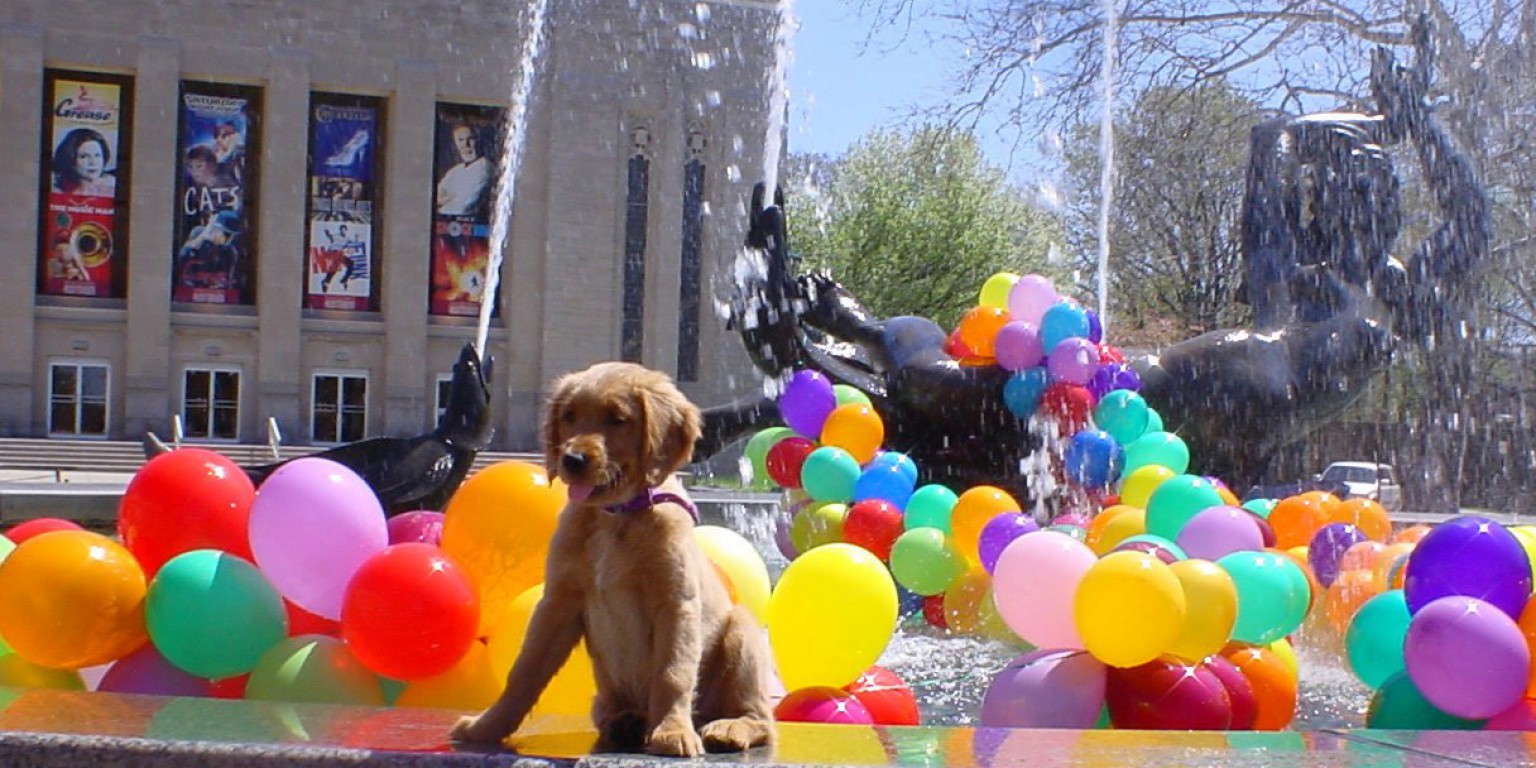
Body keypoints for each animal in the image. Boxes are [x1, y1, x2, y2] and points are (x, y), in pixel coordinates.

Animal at [448, 360, 774, 755]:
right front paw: (487, 726)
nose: (571, 459)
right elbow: (524, 671)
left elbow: (673, 672)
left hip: (742, 632)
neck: (613, 515)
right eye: (569, 416)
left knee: (761, 718)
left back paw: (726, 728)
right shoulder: (557, 602)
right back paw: (627, 722)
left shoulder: (675, 602)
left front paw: (672, 731)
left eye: (618, 419)